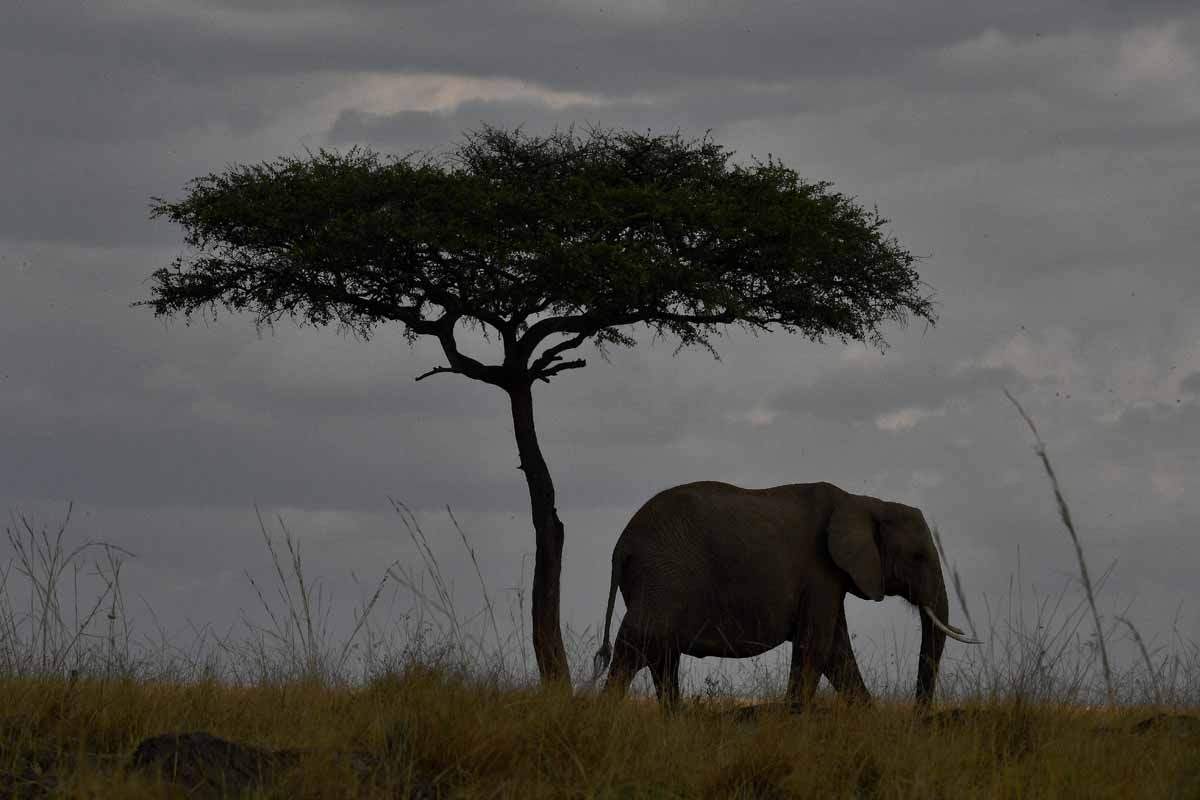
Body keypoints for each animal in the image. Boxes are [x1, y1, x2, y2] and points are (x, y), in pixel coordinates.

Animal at [590, 482, 974, 714]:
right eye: (918, 556)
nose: (919, 715)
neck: (863, 502)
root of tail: (621, 546)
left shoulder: (829, 579)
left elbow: (836, 653)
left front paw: (869, 718)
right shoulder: (820, 570)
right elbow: (816, 646)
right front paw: (794, 717)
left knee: (661, 655)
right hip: (662, 576)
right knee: (638, 644)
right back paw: (606, 715)